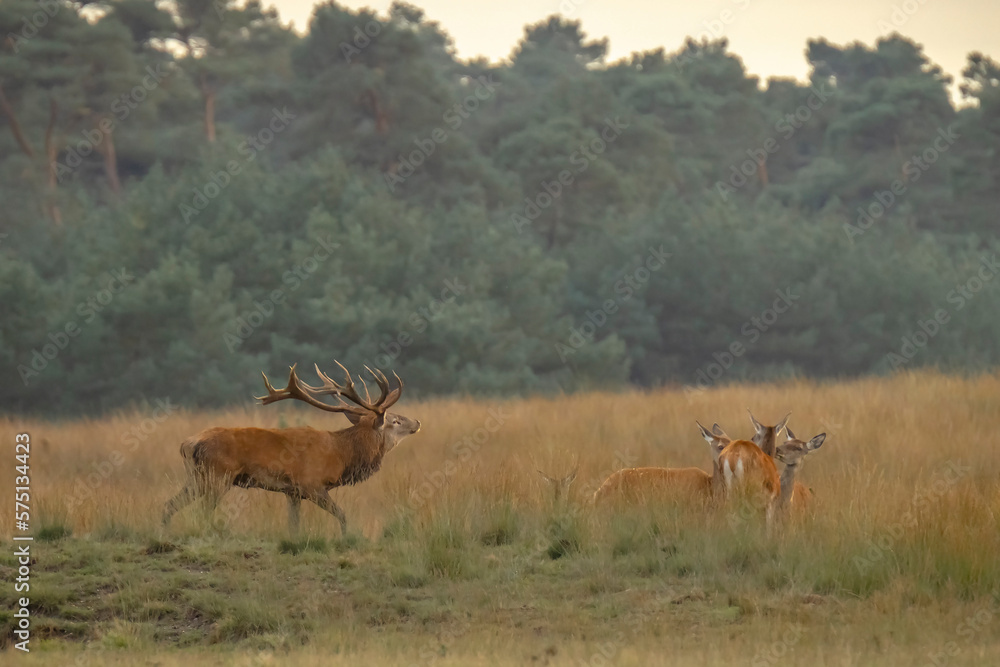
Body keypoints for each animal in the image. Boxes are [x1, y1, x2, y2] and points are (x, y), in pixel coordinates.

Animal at [162, 362, 421, 535]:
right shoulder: (311, 484)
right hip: (218, 475)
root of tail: (188, 444)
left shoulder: (292, 492)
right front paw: (346, 538)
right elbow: (342, 515)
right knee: (203, 510)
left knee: (169, 505)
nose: (417, 422)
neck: (342, 455)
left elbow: (293, 526)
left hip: (196, 476)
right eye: (395, 420)